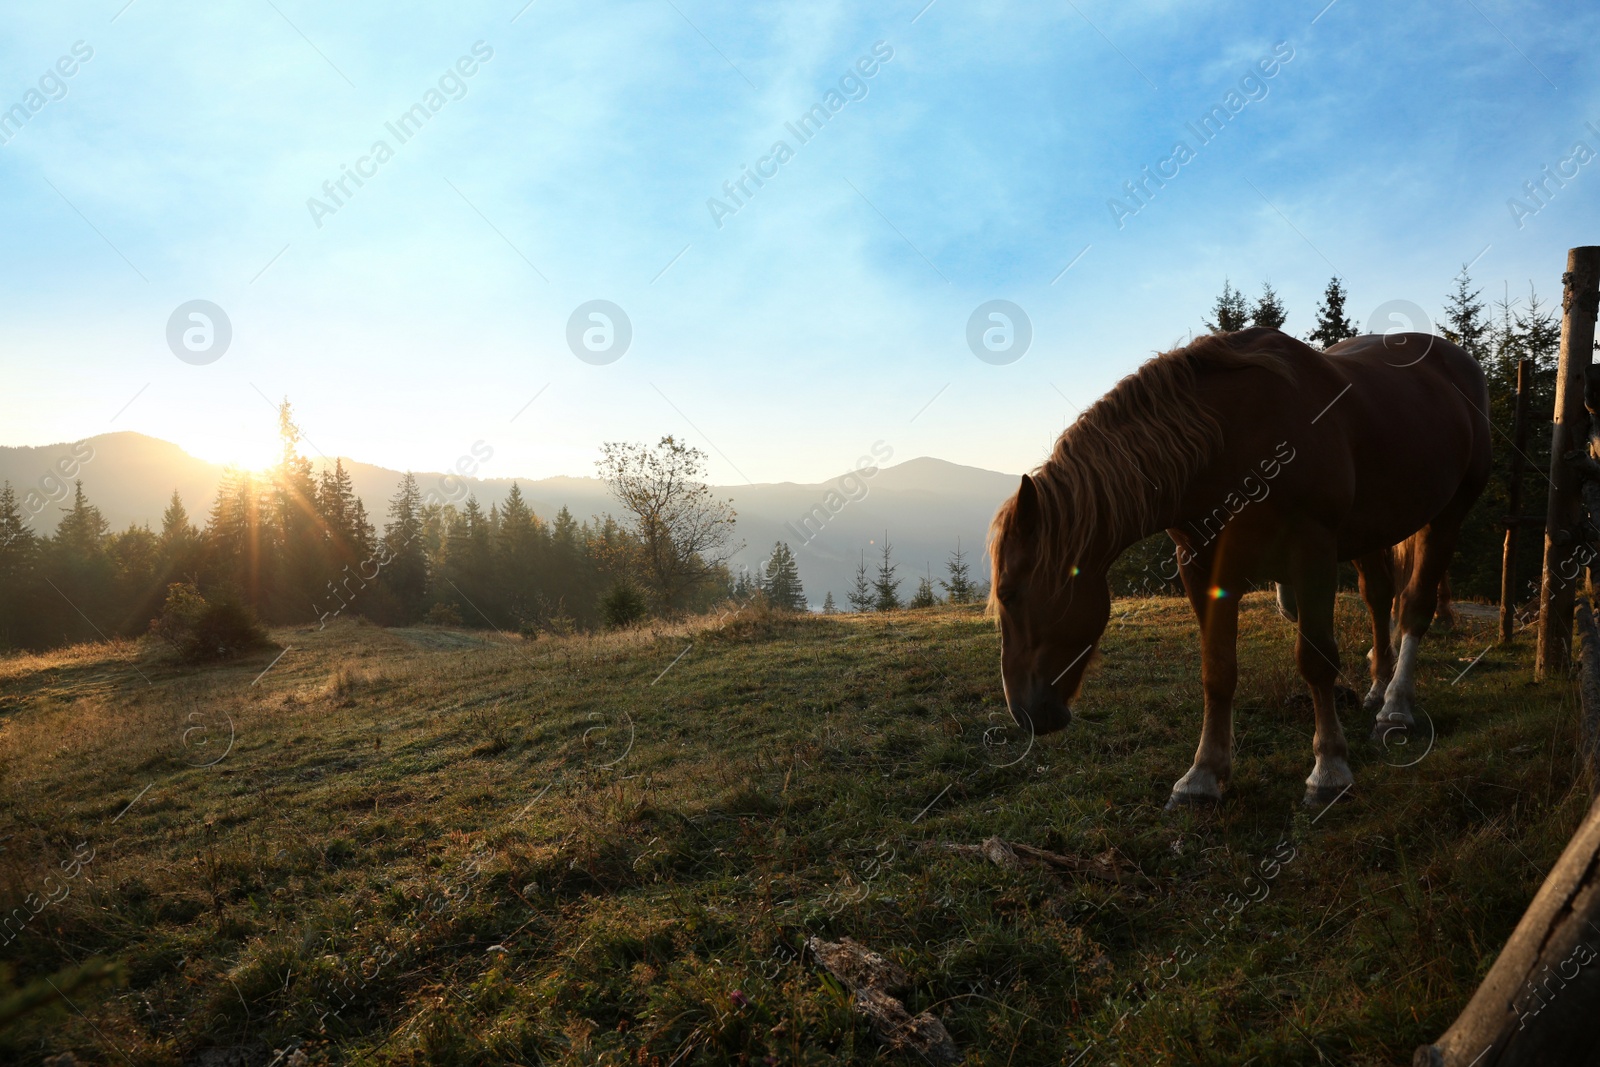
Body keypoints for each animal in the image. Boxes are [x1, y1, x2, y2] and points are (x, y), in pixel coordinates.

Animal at [992, 329, 1491, 806]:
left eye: (1008, 594)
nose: (1024, 715)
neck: (1232, 439)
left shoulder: (1311, 550)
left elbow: (1316, 660)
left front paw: (1329, 770)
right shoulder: (1200, 567)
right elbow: (1217, 670)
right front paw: (1201, 777)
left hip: (1449, 513)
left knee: (1415, 606)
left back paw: (1396, 707)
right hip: (1372, 531)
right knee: (1378, 596)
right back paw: (1378, 686)